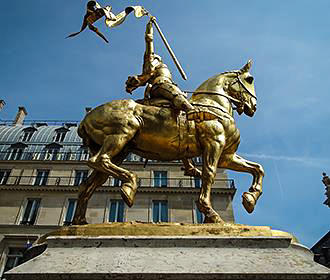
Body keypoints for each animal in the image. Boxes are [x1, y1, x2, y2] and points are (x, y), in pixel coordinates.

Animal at [71, 61, 262, 225]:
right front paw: (210, 213)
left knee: (87, 184)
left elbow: (258, 169)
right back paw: (130, 184)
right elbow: (209, 174)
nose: (253, 106)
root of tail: (85, 119)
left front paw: (250, 199)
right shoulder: (214, 143)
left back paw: (79, 221)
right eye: (250, 79)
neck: (212, 104)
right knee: (99, 160)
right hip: (123, 133)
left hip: (120, 152)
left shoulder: (226, 156)